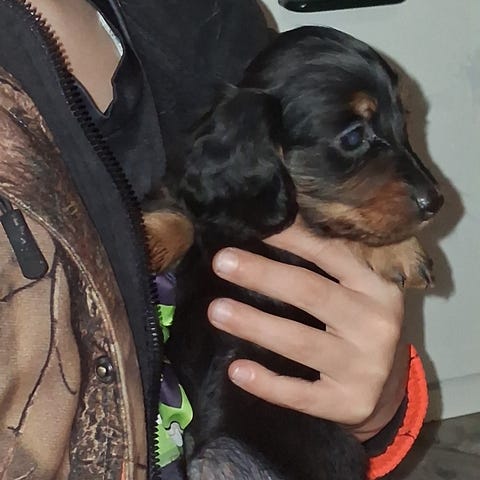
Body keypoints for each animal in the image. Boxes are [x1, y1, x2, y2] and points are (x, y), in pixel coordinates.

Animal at [144, 26, 443, 480]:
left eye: (402, 122)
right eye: (353, 136)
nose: (436, 203)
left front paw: (401, 250)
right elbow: (184, 215)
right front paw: (150, 234)